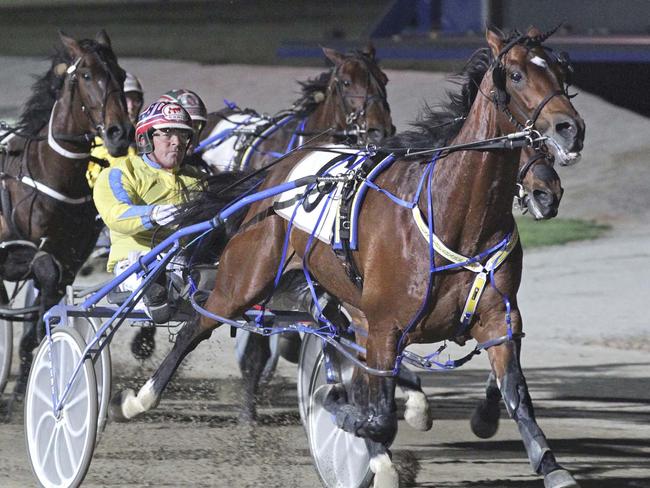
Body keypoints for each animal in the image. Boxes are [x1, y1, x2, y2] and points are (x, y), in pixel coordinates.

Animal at [0, 31, 132, 404]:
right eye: (86, 75)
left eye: (120, 74)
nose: (120, 133)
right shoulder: (24, 254)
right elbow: (44, 276)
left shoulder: (69, 261)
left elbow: (42, 319)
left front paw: (25, 387)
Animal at [107, 26, 584, 488]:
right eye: (517, 75)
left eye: (563, 72)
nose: (569, 128)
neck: (454, 215)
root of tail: (279, 173)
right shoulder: (385, 328)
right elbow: (371, 414)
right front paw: (343, 411)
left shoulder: (496, 319)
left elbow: (513, 391)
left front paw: (547, 462)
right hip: (246, 278)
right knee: (195, 327)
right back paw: (134, 400)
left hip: (340, 303)